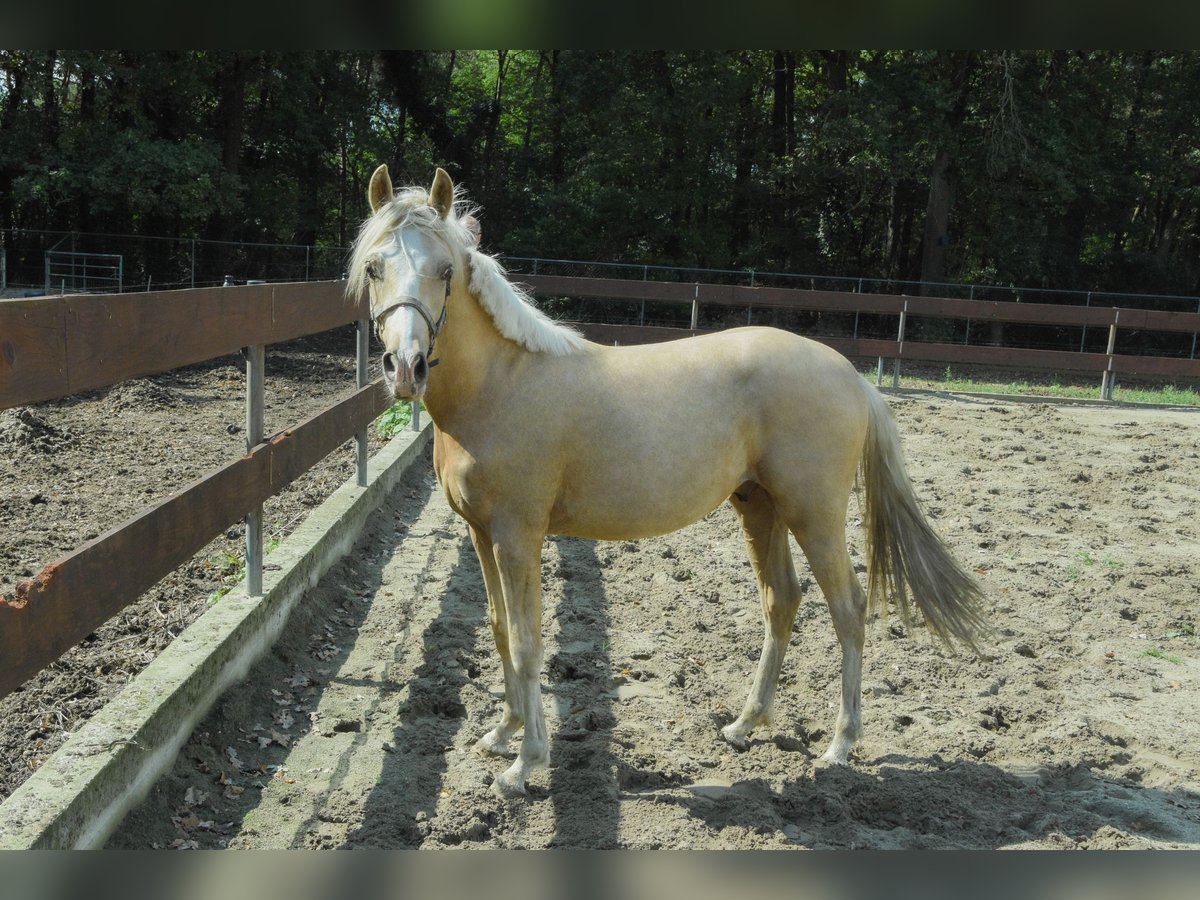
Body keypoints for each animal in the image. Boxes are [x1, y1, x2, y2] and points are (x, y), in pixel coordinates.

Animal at [347, 165, 988, 798]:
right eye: (375, 267)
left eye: (445, 270)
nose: (405, 369)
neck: (500, 385)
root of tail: (853, 377)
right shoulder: (482, 535)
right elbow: (502, 630)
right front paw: (502, 735)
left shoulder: (518, 536)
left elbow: (530, 642)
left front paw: (525, 763)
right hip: (759, 505)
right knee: (782, 600)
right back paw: (744, 725)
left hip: (815, 513)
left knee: (848, 608)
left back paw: (840, 745)